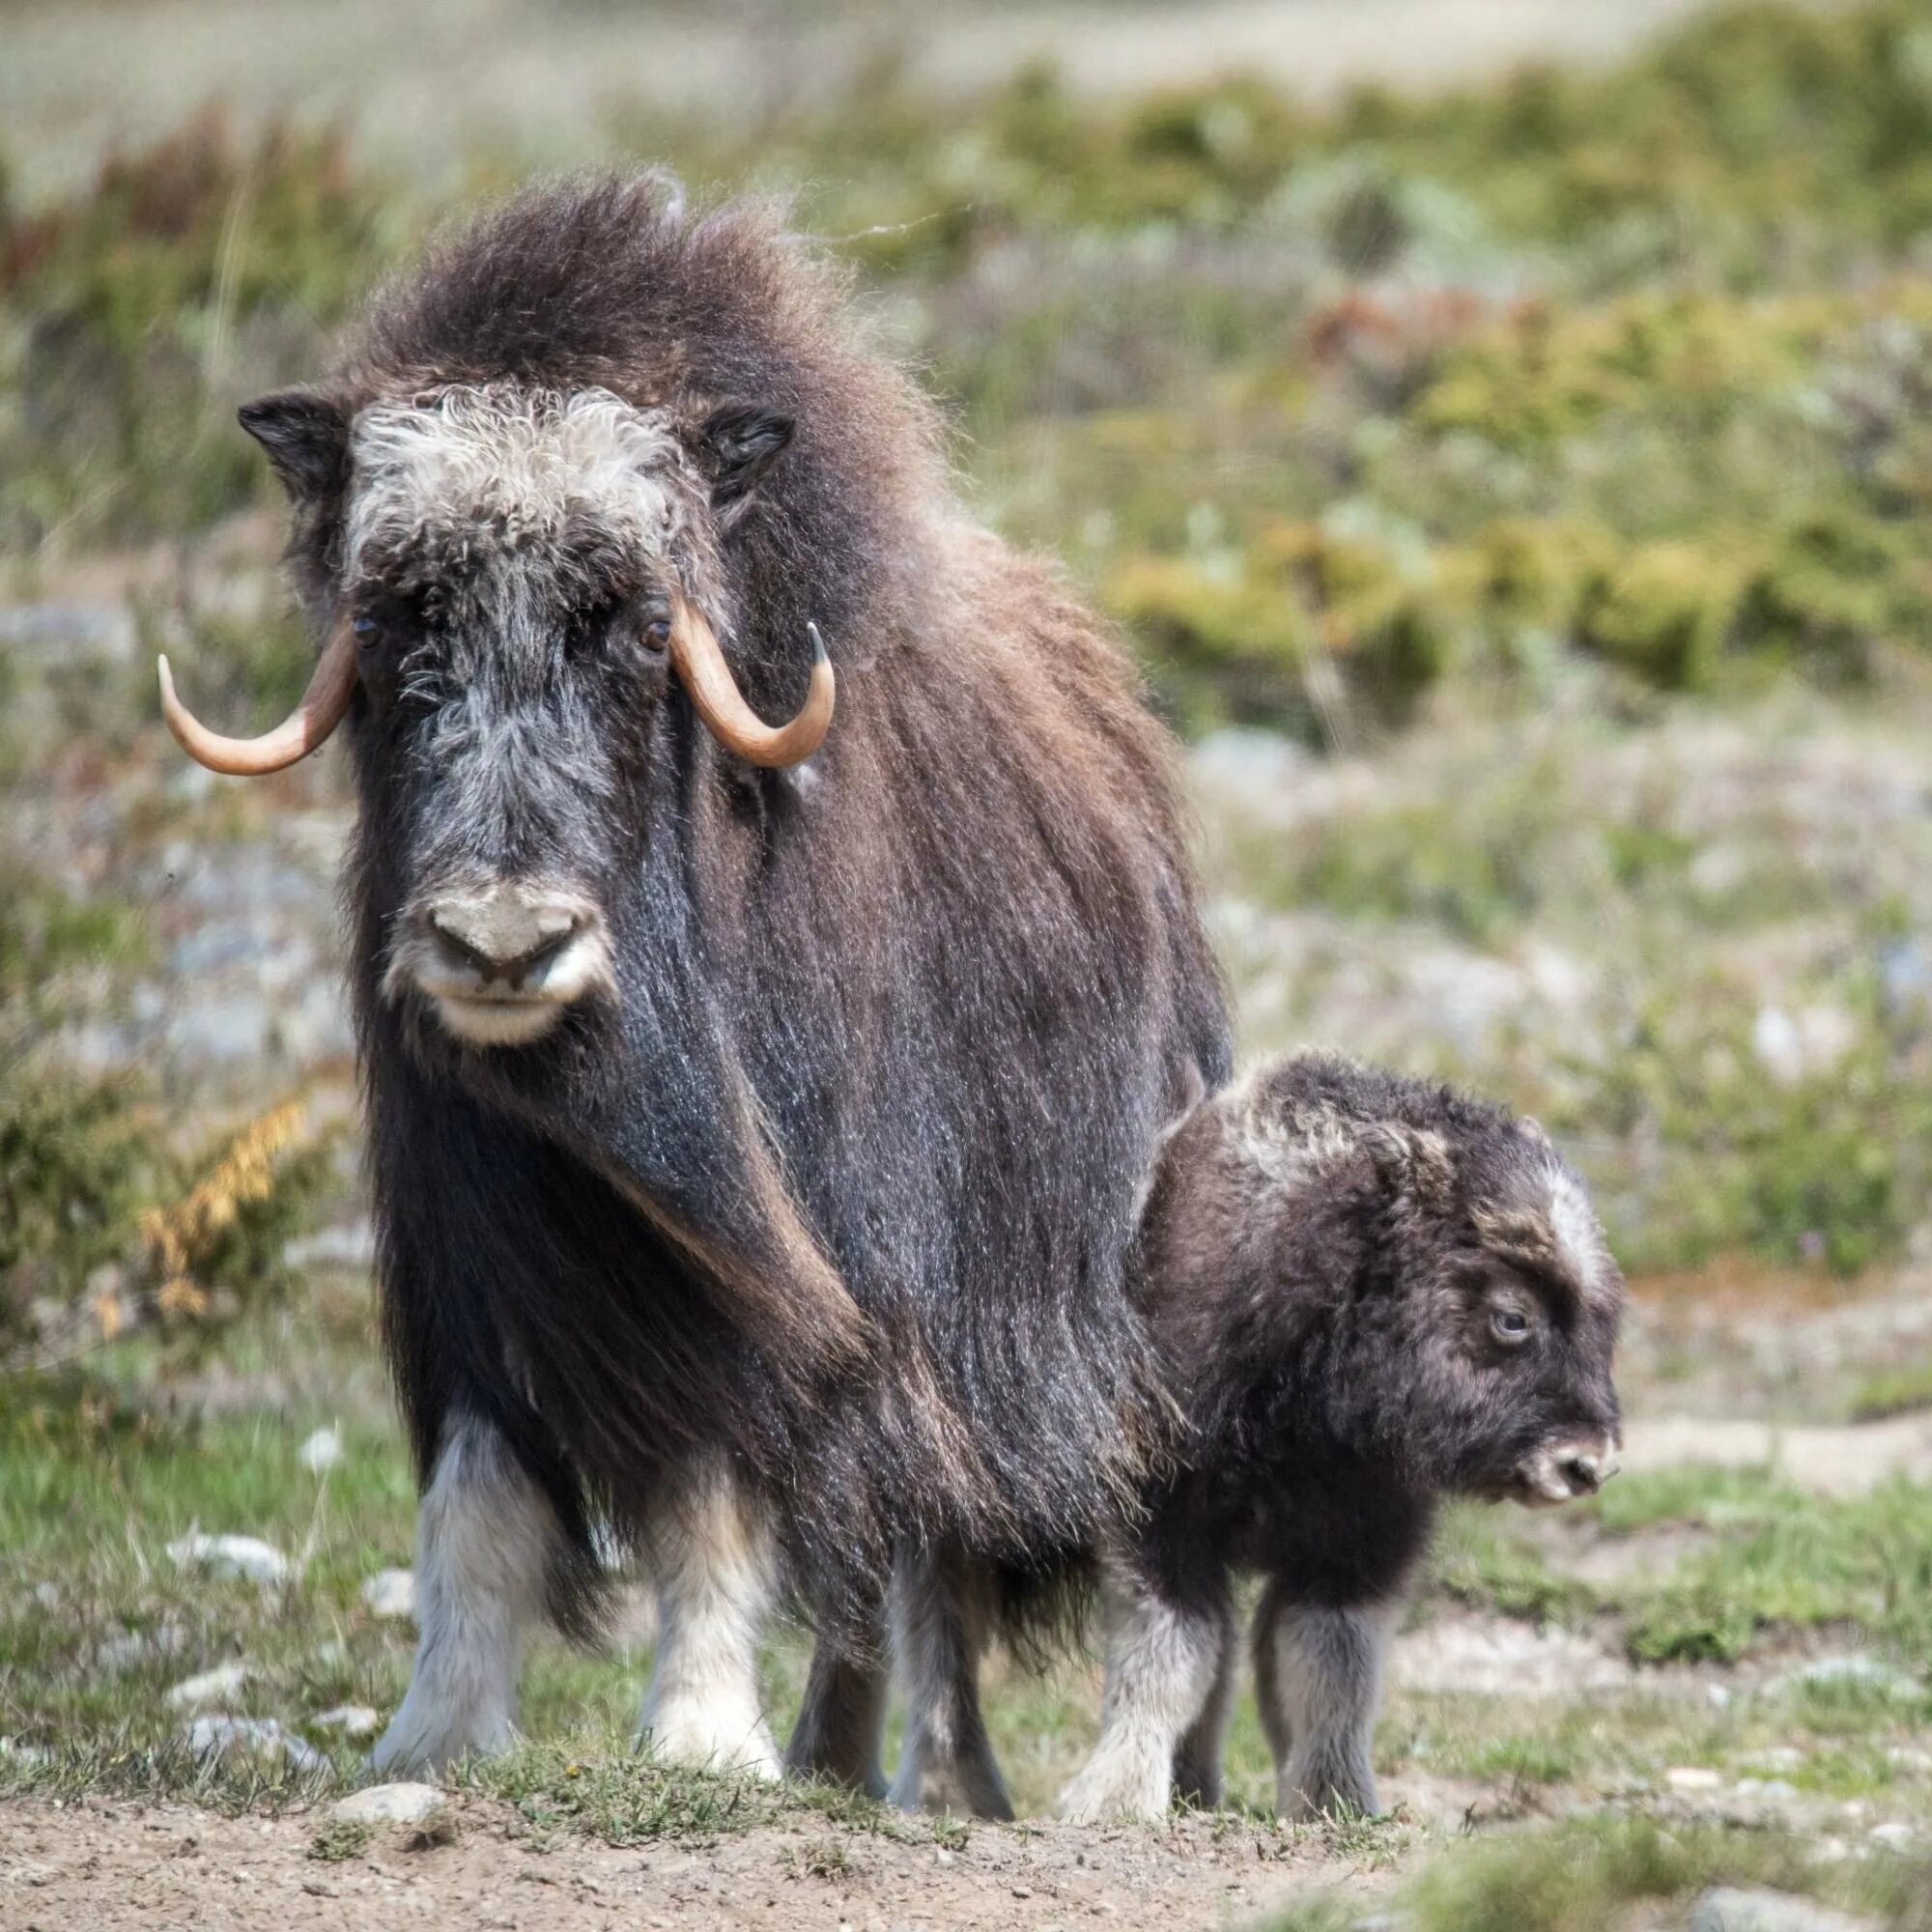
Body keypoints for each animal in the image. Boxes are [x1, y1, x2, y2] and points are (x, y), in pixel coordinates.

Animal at [158, 182, 1229, 1777]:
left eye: (631, 626)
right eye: (404, 616)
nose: (501, 945)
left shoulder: (776, 1263)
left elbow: (719, 1484)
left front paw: (702, 1741)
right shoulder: (462, 1255)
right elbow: (472, 1495)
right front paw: (432, 1739)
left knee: (944, 1547)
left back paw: (960, 1779)